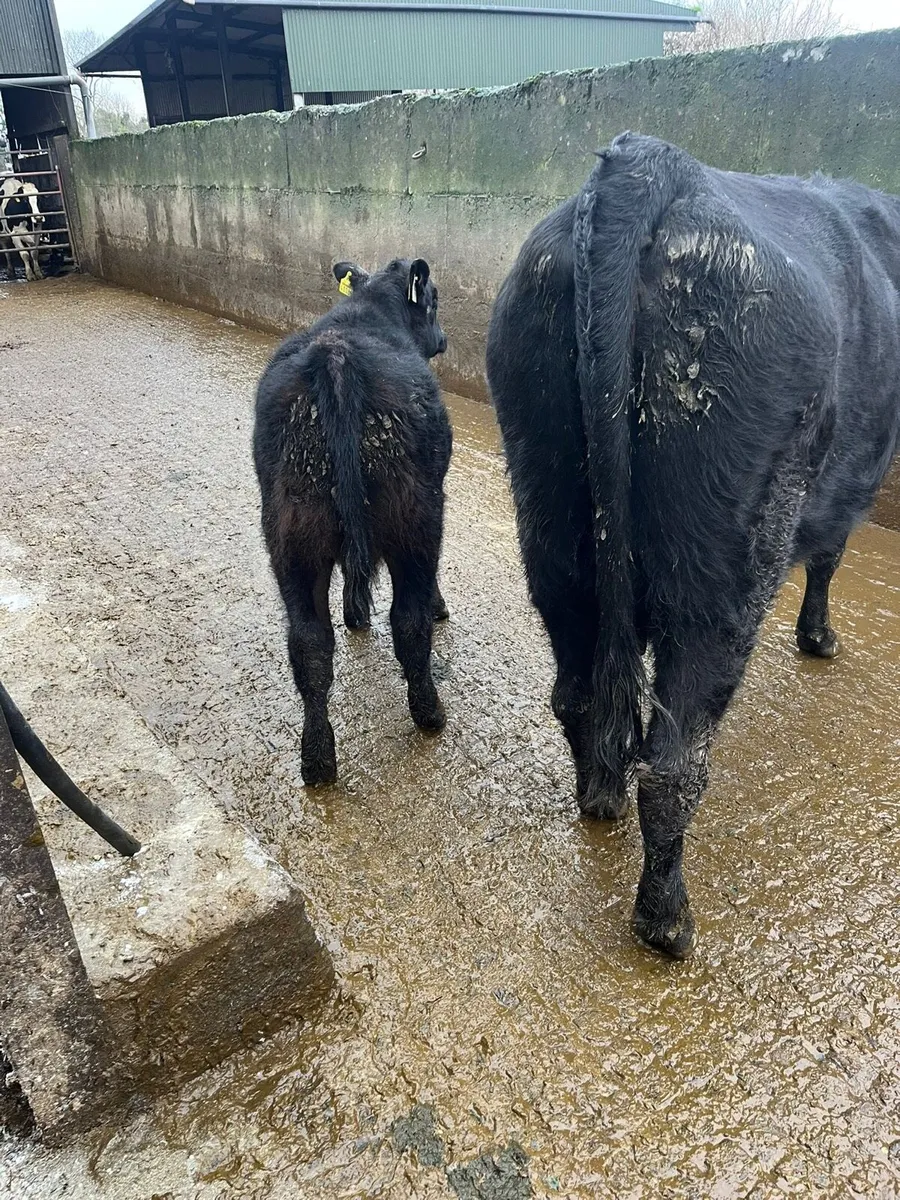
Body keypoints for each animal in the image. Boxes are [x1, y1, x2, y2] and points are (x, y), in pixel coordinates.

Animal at [253, 257, 451, 786]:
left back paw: (317, 759)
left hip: (291, 534)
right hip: (417, 518)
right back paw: (429, 713)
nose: (444, 340)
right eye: (433, 301)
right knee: (409, 621)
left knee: (309, 643)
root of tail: (337, 357)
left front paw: (354, 614)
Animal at [486, 132, 900, 958]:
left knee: (579, 693)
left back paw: (600, 800)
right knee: (674, 763)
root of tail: (649, 162)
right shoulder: (857, 477)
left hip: (551, 523)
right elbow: (830, 559)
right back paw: (668, 920)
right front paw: (821, 639)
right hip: (721, 570)